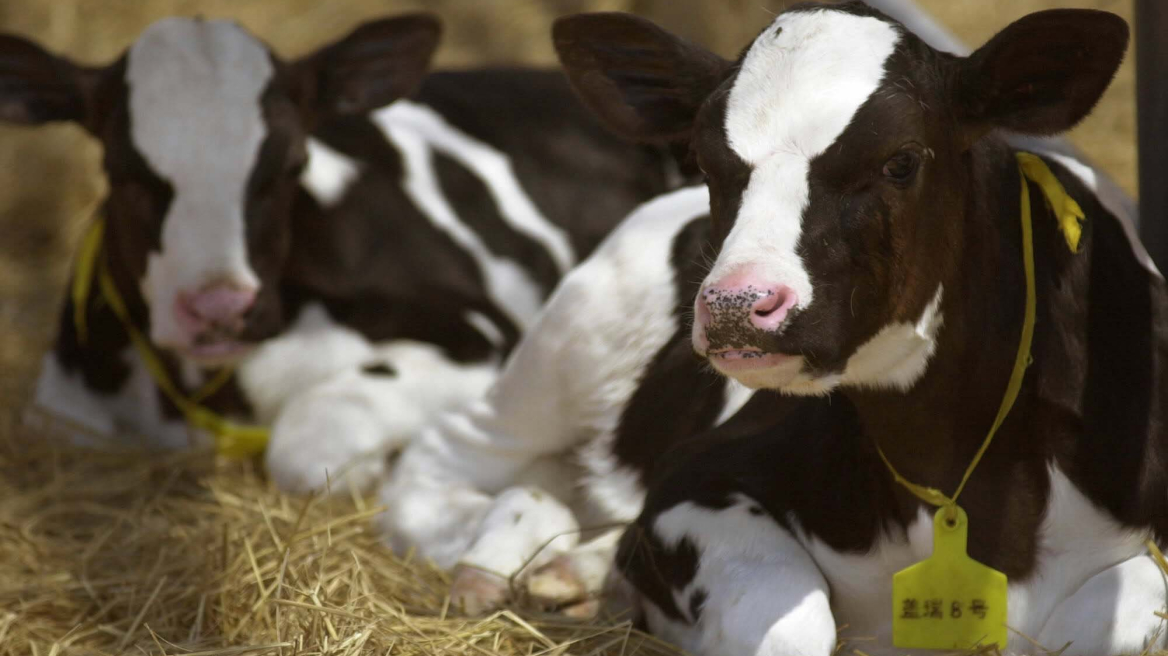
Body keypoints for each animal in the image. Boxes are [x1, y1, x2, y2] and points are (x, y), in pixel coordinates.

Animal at [4, 14, 677, 490]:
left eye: (291, 163)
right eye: (120, 170)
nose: (221, 308)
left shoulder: (478, 337)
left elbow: (310, 441)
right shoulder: (65, 411)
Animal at [383, 5, 1168, 653]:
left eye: (900, 161)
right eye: (705, 160)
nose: (738, 304)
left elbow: (1117, 604)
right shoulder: (692, 484)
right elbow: (793, 617)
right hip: (565, 346)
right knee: (442, 461)